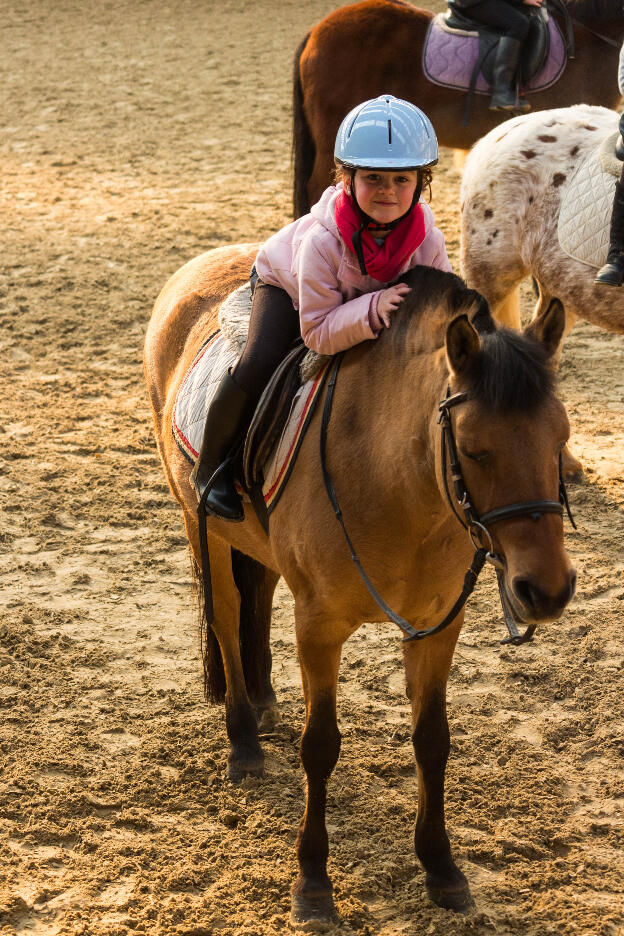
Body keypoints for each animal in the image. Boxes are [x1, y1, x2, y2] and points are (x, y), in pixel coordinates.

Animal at [145, 245, 576, 924]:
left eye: (561, 438)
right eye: (474, 449)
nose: (547, 590)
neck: (395, 479)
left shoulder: (437, 625)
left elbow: (432, 740)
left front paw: (441, 867)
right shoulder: (319, 626)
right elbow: (320, 745)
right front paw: (313, 881)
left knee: (258, 594)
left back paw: (263, 702)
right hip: (200, 522)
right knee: (228, 614)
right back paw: (243, 739)